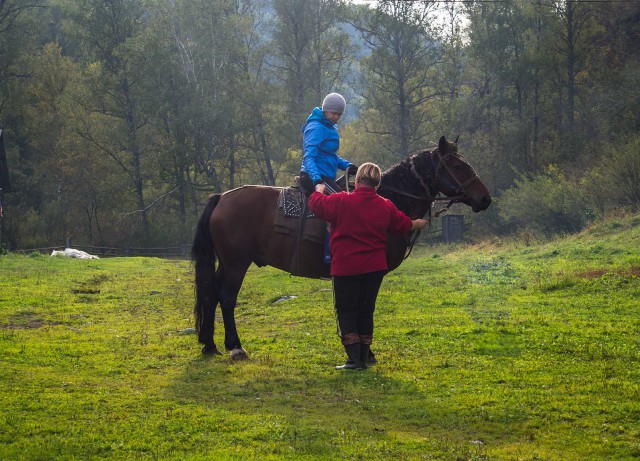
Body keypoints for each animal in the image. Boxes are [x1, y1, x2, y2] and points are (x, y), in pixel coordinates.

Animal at [192, 135, 492, 358]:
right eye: (457, 165)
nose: (485, 198)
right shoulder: (369, 273)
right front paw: (365, 352)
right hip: (236, 263)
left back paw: (210, 344)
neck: (386, 198)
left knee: (210, 294)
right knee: (226, 297)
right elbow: (362, 306)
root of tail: (222, 197)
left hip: (226, 263)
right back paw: (235, 346)